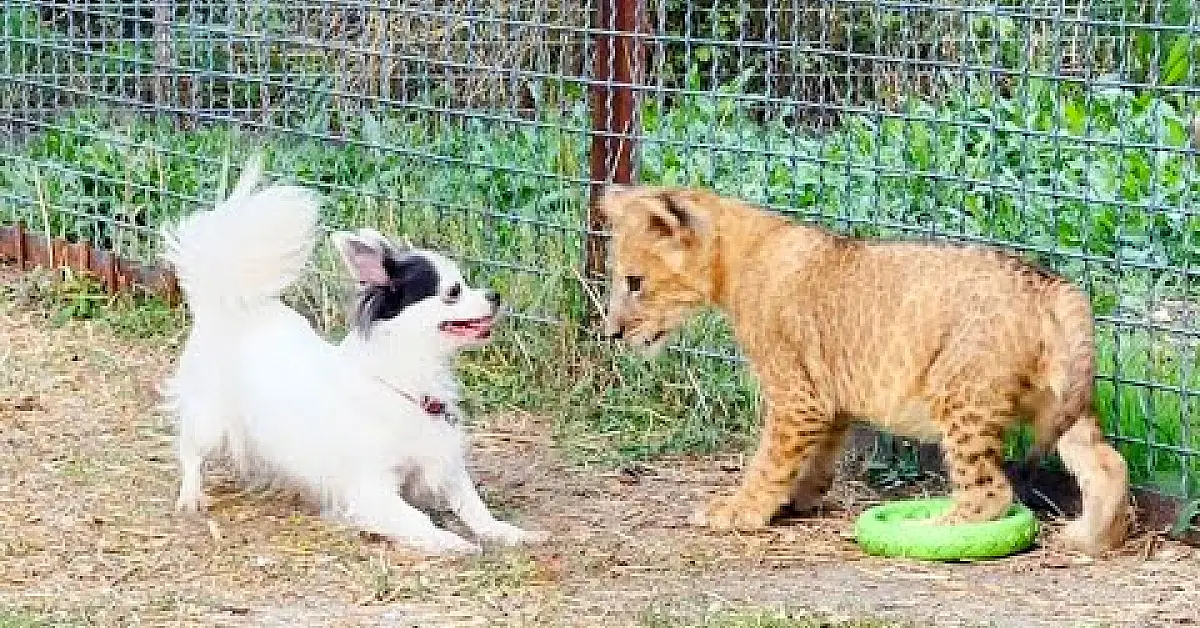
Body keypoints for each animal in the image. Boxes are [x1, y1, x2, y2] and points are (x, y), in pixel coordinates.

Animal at [162, 160, 537, 554]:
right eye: (453, 292)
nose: (495, 294)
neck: (408, 383)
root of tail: (225, 304)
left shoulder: (444, 463)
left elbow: (473, 505)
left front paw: (505, 531)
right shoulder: (372, 489)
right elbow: (418, 520)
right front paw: (451, 542)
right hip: (208, 418)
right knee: (190, 450)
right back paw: (191, 495)